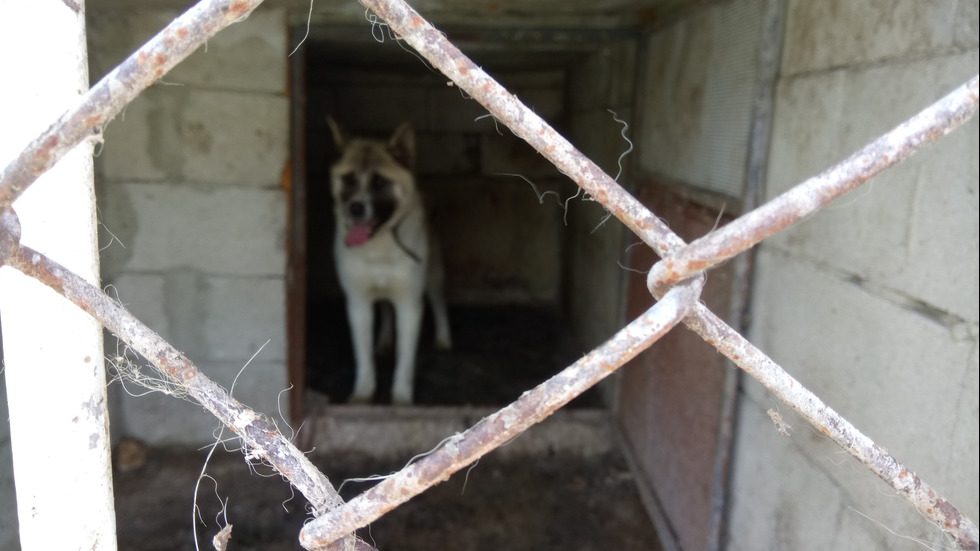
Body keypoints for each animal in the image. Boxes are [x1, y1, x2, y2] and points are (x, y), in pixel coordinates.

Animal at [330, 118, 452, 406]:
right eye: (349, 179)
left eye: (378, 182)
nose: (355, 208)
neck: (379, 246)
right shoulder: (358, 303)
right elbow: (363, 357)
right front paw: (363, 392)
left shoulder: (410, 303)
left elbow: (405, 359)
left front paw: (401, 397)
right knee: (385, 307)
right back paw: (384, 342)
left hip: (434, 275)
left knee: (438, 300)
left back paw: (443, 337)